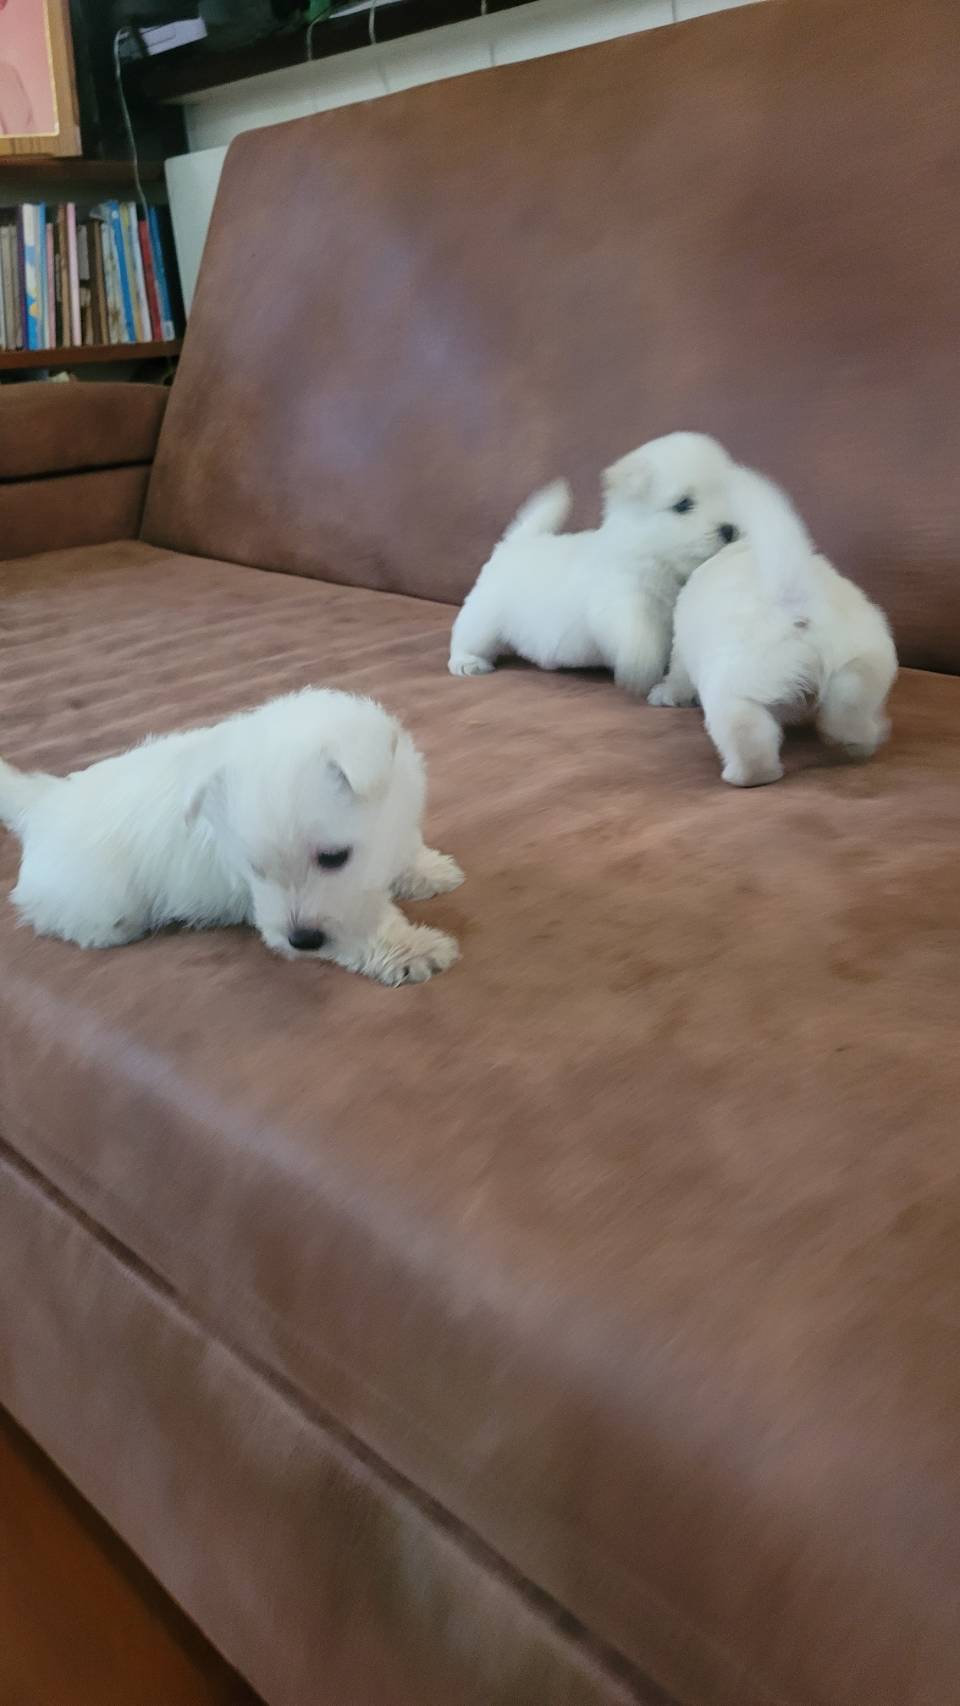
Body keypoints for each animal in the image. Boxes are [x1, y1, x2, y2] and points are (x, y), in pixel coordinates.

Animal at [0, 689, 463, 985]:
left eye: (333, 857)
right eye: (255, 869)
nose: (302, 941)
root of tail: (43, 802)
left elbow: (405, 851)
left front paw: (428, 870)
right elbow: (365, 929)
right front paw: (413, 949)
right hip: (98, 904)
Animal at [448, 433, 738, 694]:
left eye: (729, 497)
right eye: (683, 504)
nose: (730, 529)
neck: (653, 555)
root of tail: (515, 543)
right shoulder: (623, 602)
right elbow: (639, 636)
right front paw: (640, 671)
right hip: (484, 617)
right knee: (466, 638)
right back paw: (467, 662)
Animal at [648, 451, 898, 786]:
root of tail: (791, 595)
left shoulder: (682, 650)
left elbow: (677, 675)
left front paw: (666, 694)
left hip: (735, 690)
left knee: (747, 734)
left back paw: (747, 775)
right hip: (859, 665)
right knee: (849, 710)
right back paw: (860, 742)